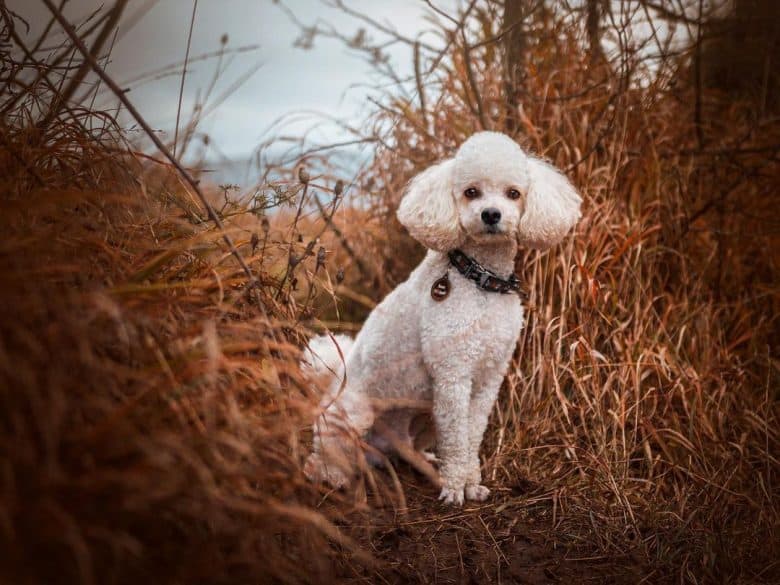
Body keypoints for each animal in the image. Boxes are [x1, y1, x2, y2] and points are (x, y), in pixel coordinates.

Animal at [302, 130, 580, 504]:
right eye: (471, 192)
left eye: (513, 193)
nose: (491, 214)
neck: (479, 281)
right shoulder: (453, 375)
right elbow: (458, 439)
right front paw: (454, 488)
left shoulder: (489, 378)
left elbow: (471, 435)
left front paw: (470, 482)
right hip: (353, 415)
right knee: (322, 455)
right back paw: (334, 476)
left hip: (425, 415)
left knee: (407, 447)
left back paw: (426, 463)